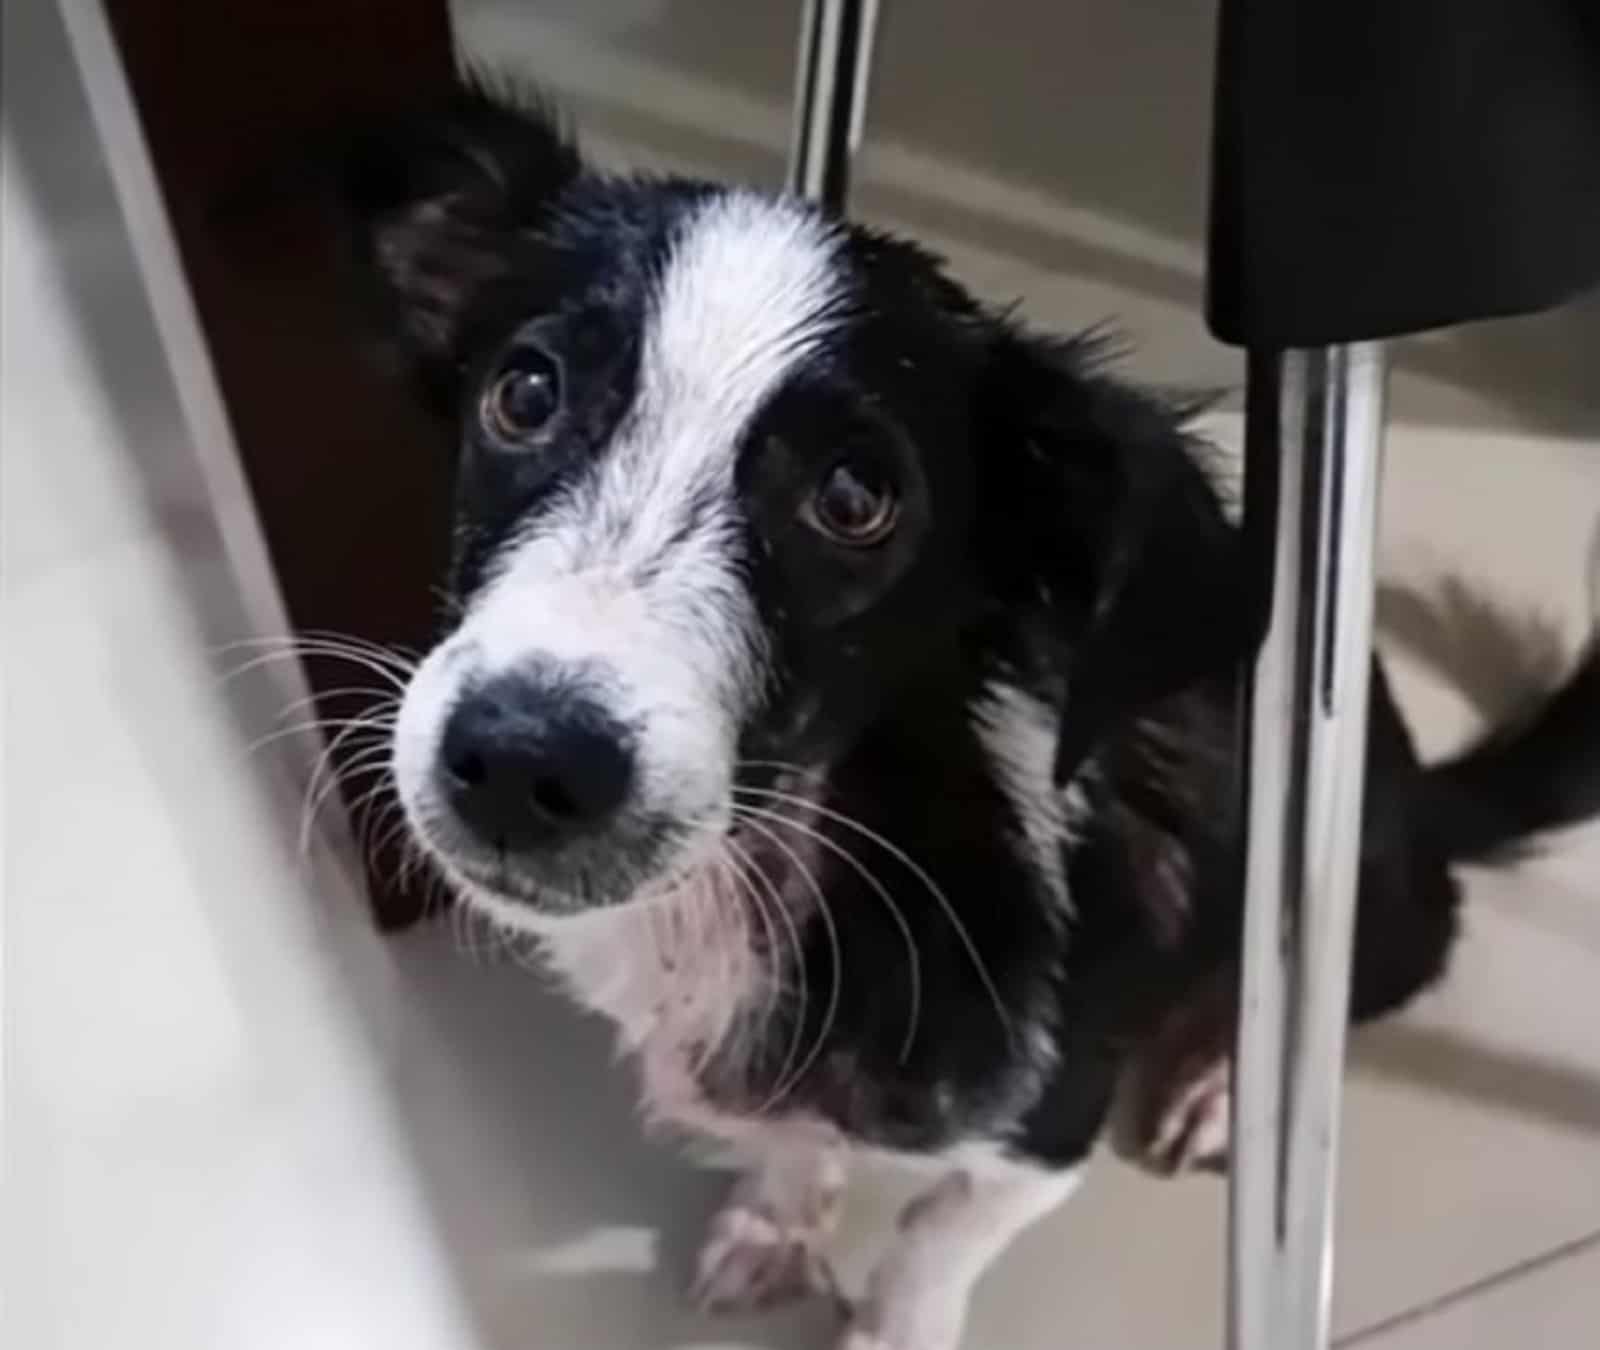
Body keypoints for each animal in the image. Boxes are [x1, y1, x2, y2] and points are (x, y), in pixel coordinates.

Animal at [340, 84, 1600, 1350]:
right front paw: (778, 1221)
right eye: (524, 393)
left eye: (856, 497)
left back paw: (1218, 1078)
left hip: (1358, 892)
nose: (519, 761)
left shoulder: (1045, 1126)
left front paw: (893, 1320)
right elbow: (797, 1144)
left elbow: (933, 1237)